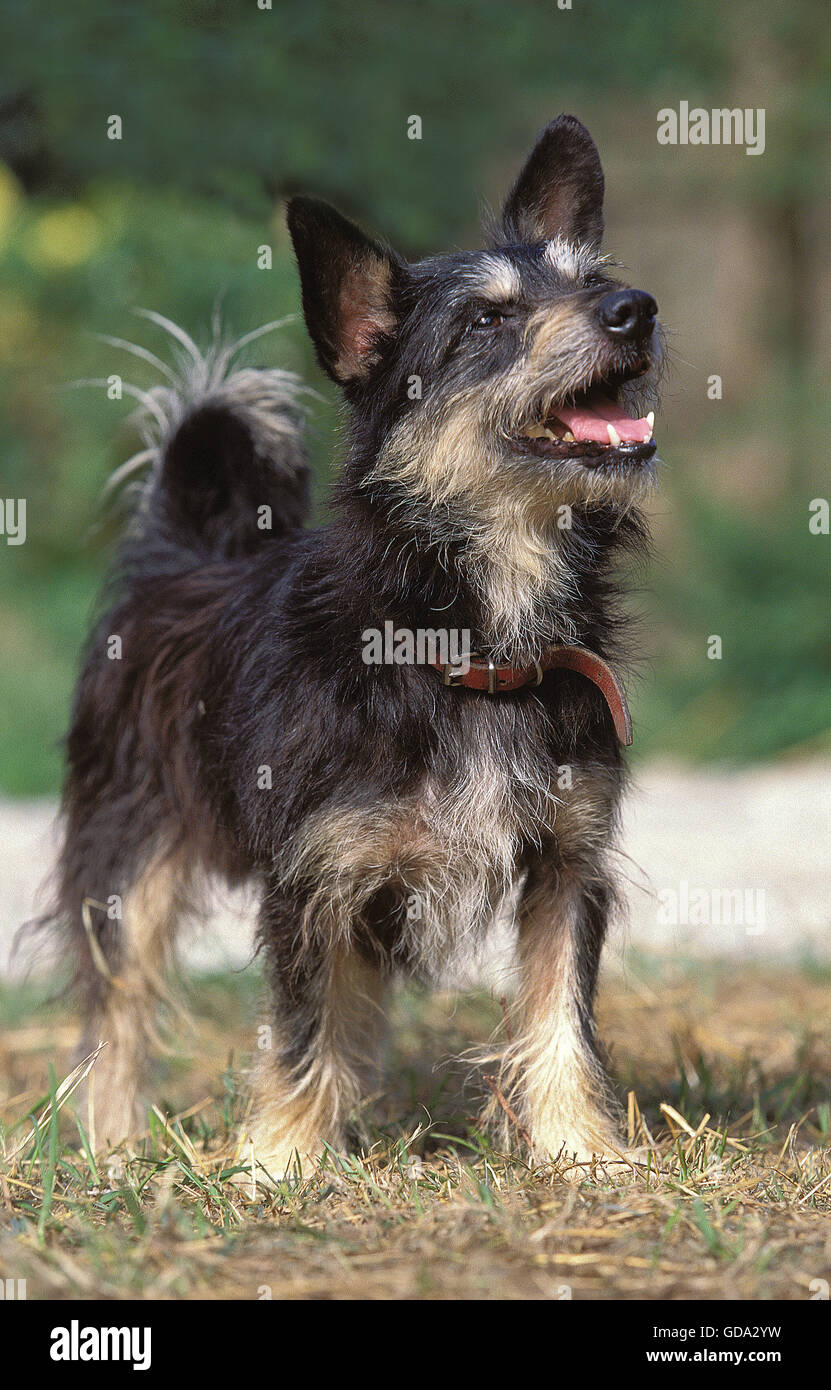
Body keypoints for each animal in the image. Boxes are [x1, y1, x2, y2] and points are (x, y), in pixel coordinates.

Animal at [47, 116, 669, 1173]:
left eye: (592, 279)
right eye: (486, 323)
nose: (636, 308)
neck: (467, 637)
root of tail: (183, 554)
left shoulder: (563, 865)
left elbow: (559, 1018)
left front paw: (579, 1152)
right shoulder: (311, 878)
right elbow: (300, 1027)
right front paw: (281, 1163)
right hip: (129, 856)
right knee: (118, 1014)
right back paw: (114, 1145)